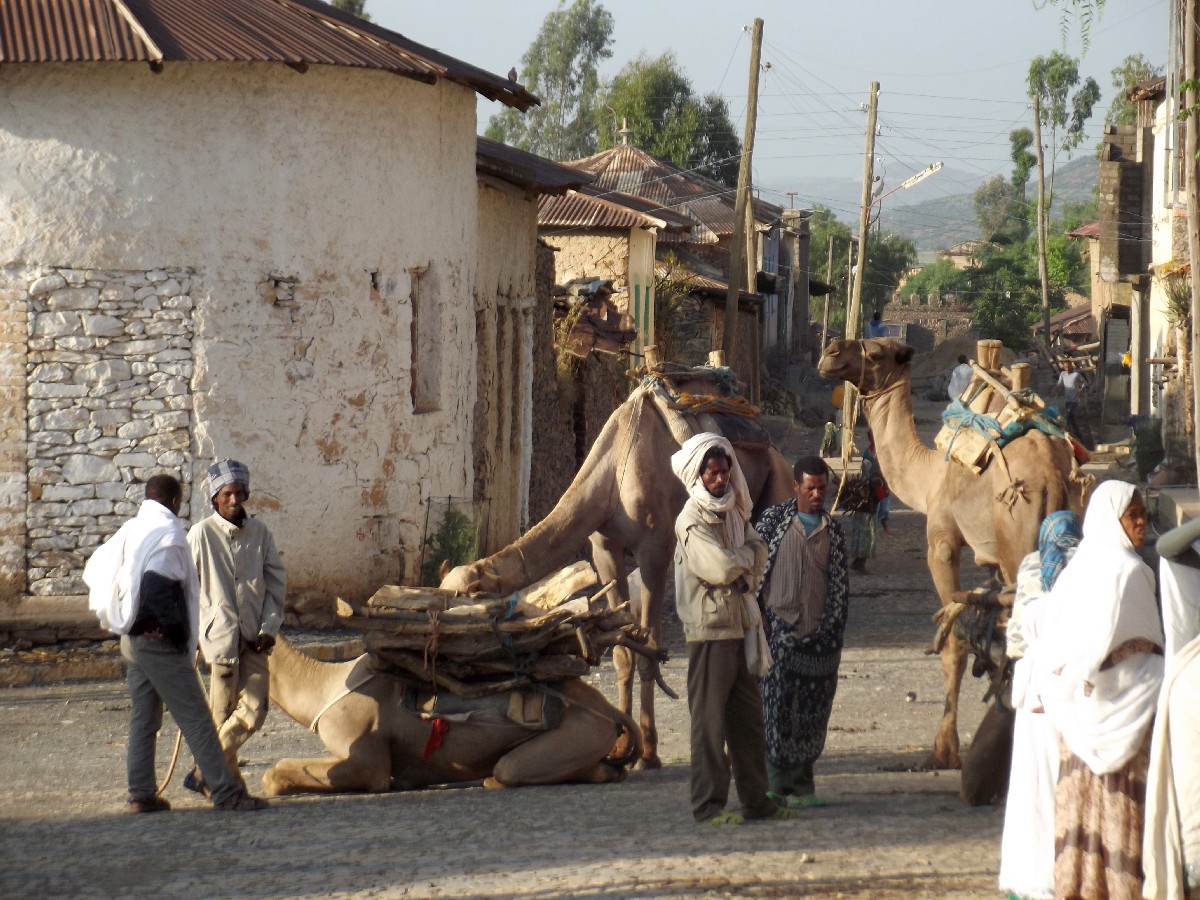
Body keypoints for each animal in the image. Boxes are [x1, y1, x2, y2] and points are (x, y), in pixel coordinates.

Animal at [259, 633, 643, 796]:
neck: (323, 687)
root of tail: (609, 710)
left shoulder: (367, 757)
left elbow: (274, 774)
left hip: (580, 733)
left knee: (508, 769)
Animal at [441, 388, 796, 768]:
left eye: (461, 601)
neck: (612, 475)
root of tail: (777, 453)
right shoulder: (604, 549)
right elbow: (623, 650)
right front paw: (622, 746)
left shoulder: (654, 549)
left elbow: (650, 649)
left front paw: (648, 754)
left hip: (776, 490)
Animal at [816, 336, 1089, 772]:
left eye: (874, 353)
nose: (830, 352)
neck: (927, 476)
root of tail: (1055, 476)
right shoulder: (991, 565)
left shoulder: (943, 542)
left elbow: (954, 640)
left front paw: (944, 749)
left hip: (1018, 541)